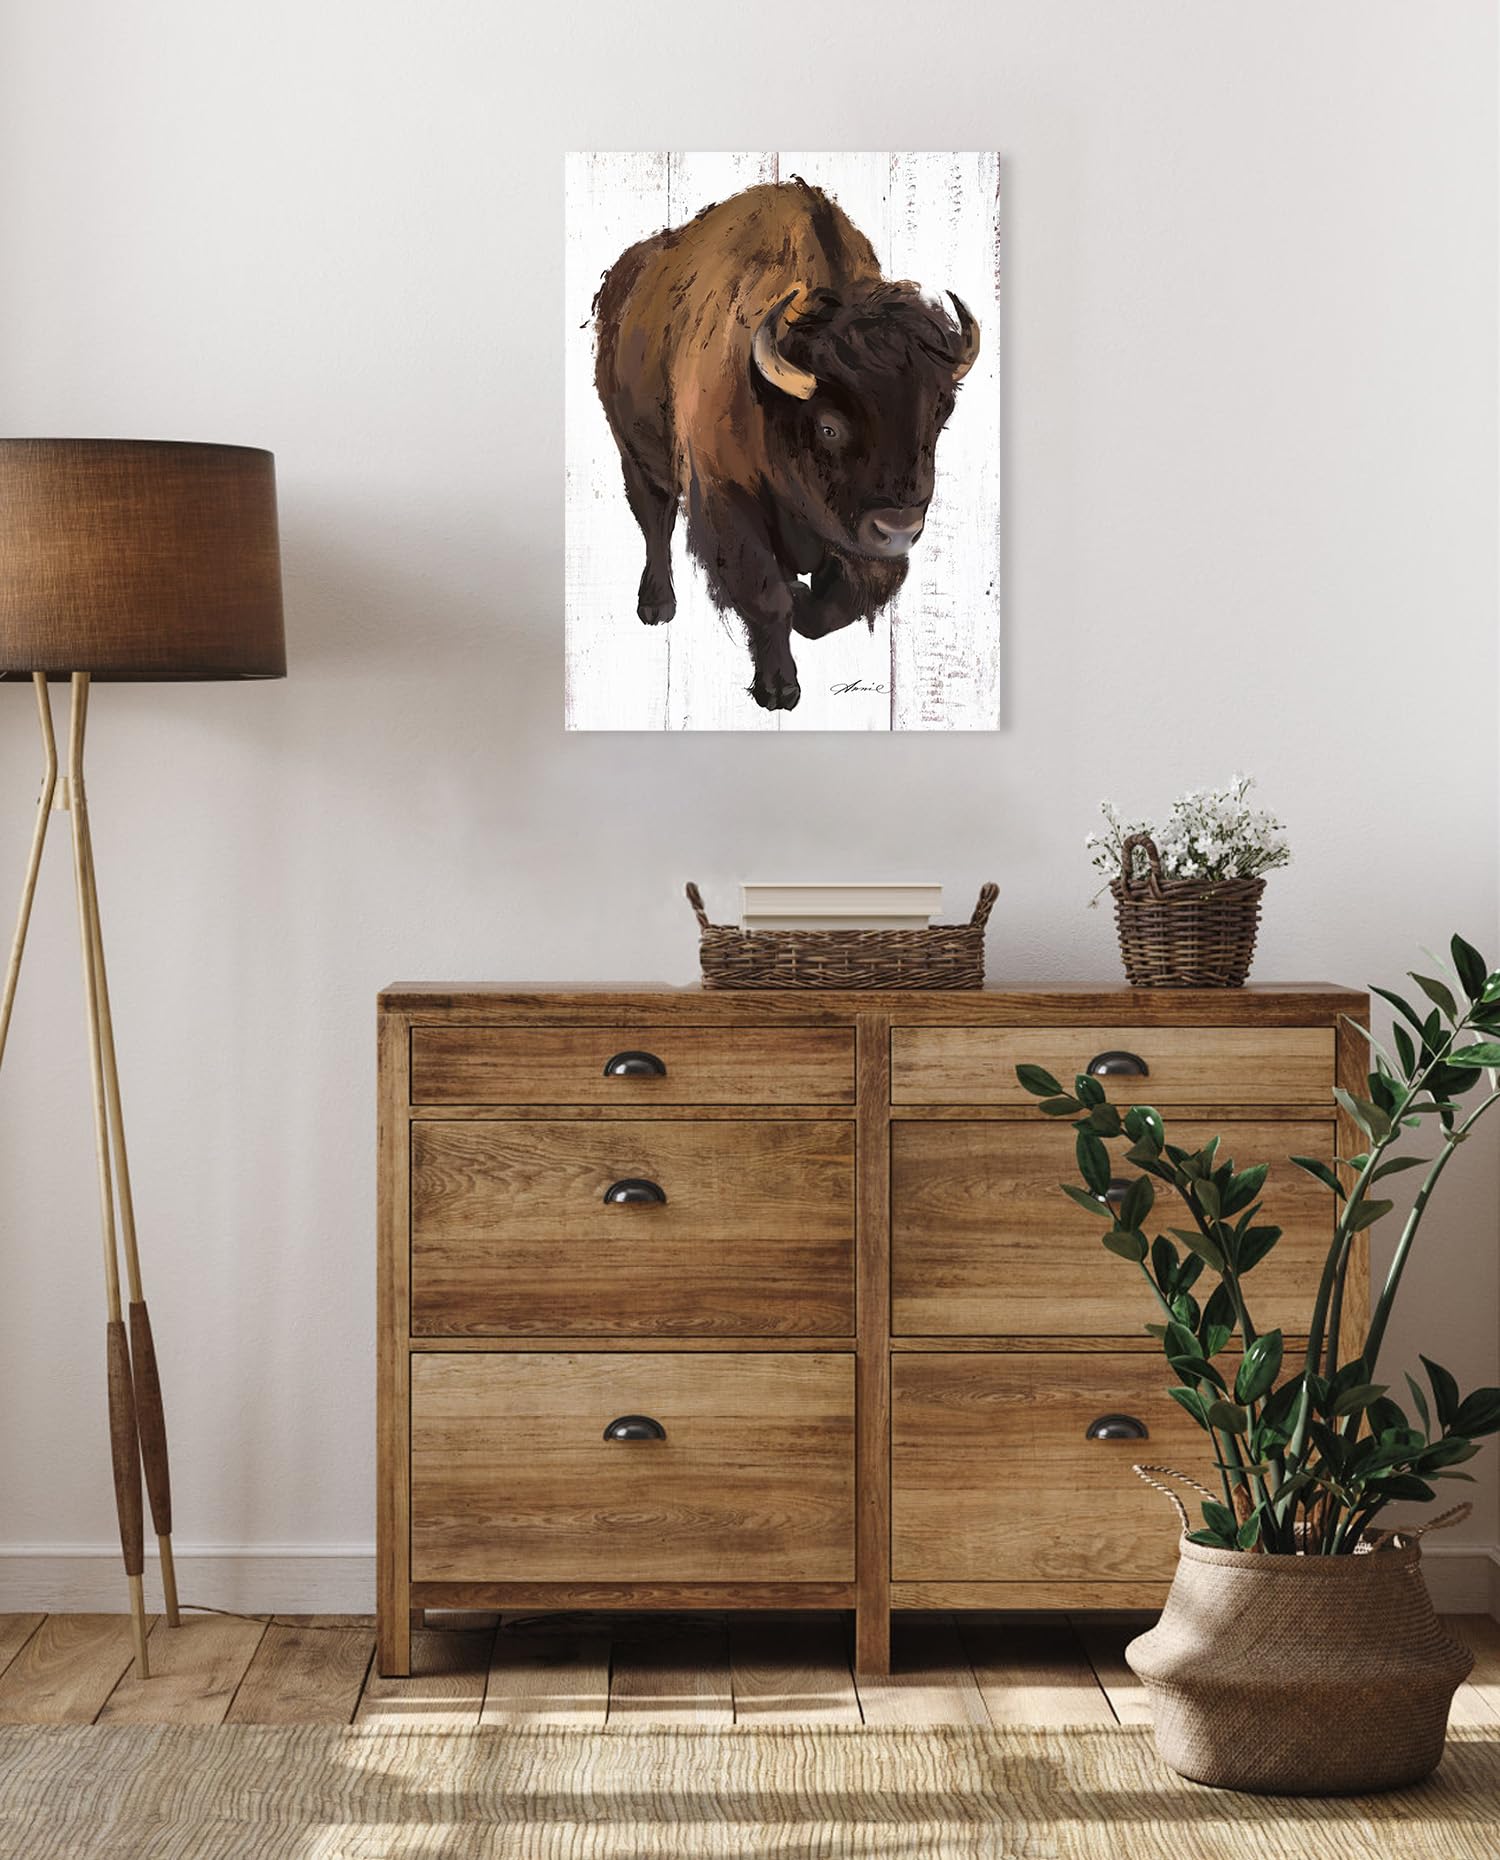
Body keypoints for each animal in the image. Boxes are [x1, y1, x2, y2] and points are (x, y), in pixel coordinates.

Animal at [591, 178, 979, 711]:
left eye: (941, 418)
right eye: (829, 427)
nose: (898, 528)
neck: (769, 400)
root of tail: (623, 277)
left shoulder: (855, 542)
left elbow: (839, 602)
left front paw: (802, 602)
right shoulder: (727, 501)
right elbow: (765, 595)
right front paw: (778, 688)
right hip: (635, 452)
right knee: (655, 519)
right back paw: (656, 605)